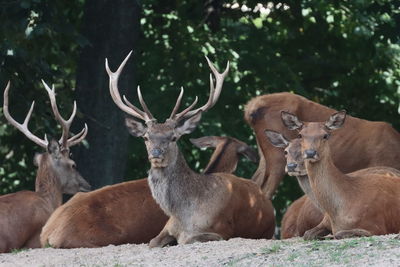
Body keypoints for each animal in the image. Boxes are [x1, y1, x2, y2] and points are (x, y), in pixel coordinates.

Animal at [104, 51, 276, 248]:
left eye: (173, 137)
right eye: (146, 137)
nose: (156, 154)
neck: (183, 215)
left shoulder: (222, 230)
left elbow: (188, 239)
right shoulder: (167, 226)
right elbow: (152, 242)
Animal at [244, 93, 400, 200]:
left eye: (325, 136)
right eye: (300, 135)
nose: (310, 153)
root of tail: (250, 109)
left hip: (264, 156)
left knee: (254, 183)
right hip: (277, 157)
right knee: (265, 190)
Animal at [276, 110, 400, 240]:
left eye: (325, 135)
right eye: (300, 135)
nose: (310, 153)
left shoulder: (377, 226)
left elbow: (339, 234)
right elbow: (308, 234)